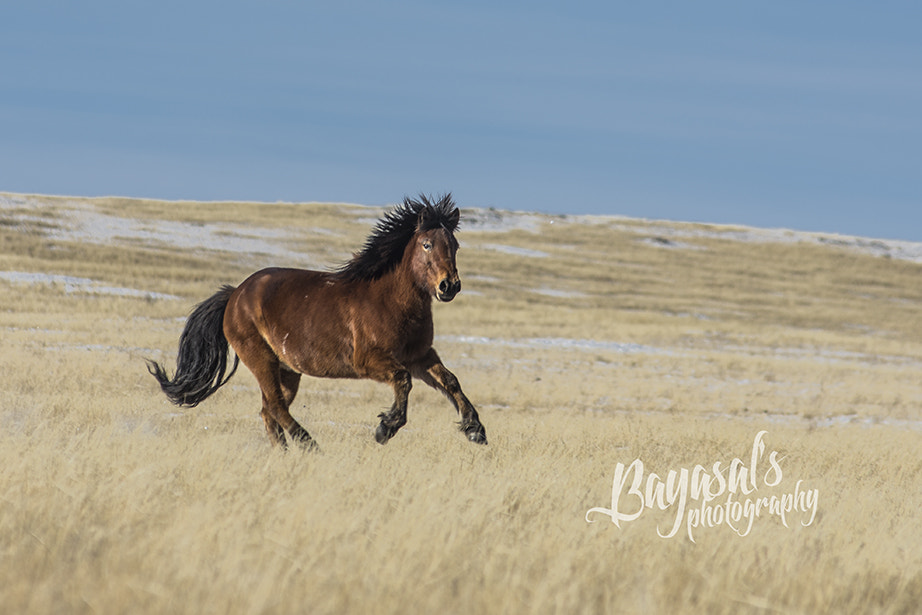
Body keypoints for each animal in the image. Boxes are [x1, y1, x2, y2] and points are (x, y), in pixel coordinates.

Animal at [146, 194, 487, 449]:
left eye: (455, 246)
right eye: (427, 244)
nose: (449, 286)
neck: (390, 301)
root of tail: (235, 294)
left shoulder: (420, 356)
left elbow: (451, 381)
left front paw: (475, 429)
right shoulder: (370, 361)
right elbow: (403, 381)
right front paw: (385, 428)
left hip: (287, 370)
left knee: (269, 411)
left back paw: (285, 453)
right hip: (260, 358)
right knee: (275, 406)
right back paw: (309, 444)